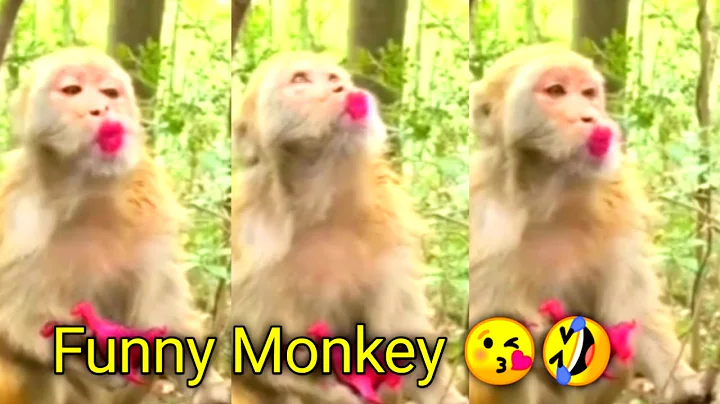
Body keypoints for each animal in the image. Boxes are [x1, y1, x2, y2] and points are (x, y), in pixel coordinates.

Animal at [0, 47, 230, 404]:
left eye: (110, 93)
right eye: (72, 90)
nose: (102, 109)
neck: (82, 190)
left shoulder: (150, 196)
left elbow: (161, 312)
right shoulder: (12, 203)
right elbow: (15, 316)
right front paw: (81, 345)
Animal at [230, 51, 469, 404]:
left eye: (333, 78)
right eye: (300, 79)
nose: (344, 89)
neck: (320, 202)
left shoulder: (391, 227)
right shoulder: (251, 246)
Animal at [468, 43, 719, 404]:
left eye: (588, 93)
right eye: (556, 91)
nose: (591, 116)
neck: (547, 193)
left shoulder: (618, 196)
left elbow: (633, 311)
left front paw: (687, 387)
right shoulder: (483, 214)